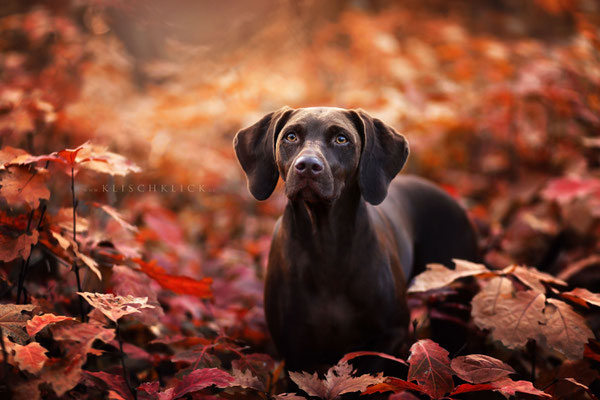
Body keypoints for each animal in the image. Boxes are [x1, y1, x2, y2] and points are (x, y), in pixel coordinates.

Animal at [233, 106, 478, 372]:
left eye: (342, 139)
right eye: (290, 136)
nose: (307, 165)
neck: (326, 245)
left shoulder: (389, 336)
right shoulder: (295, 350)